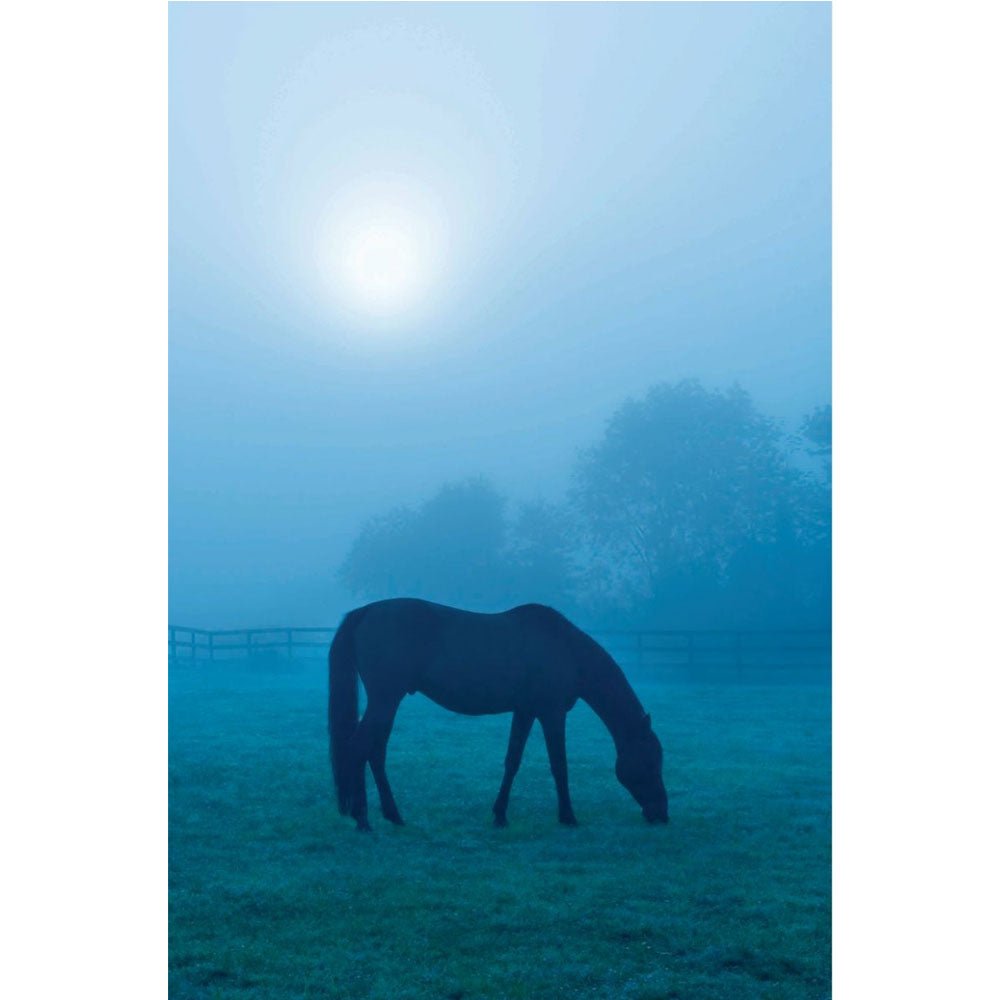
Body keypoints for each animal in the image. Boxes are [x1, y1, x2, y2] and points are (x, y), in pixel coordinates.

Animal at [328, 598, 669, 831]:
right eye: (651, 761)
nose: (662, 813)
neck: (567, 649)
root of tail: (366, 611)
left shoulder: (526, 711)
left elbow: (512, 761)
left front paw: (500, 814)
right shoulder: (552, 713)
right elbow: (559, 766)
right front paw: (568, 817)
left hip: (387, 702)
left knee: (374, 752)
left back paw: (392, 815)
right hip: (385, 700)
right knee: (359, 748)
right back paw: (363, 819)